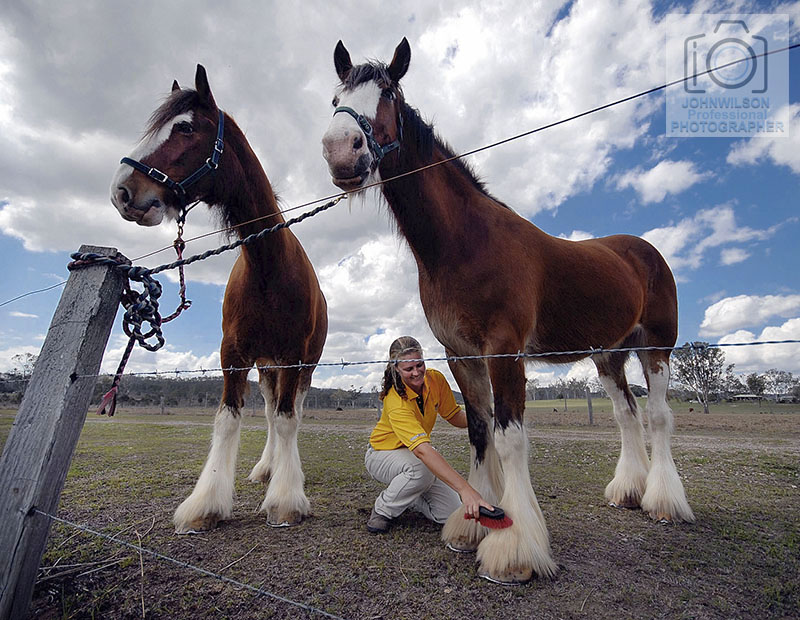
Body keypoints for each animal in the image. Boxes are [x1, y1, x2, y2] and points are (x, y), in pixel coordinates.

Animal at [111, 65, 326, 536]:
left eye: (185, 128)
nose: (122, 191)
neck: (267, 266)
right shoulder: (234, 355)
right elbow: (228, 419)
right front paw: (206, 504)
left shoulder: (293, 357)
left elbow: (289, 420)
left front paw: (286, 499)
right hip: (266, 368)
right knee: (270, 412)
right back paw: (267, 468)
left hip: (300, 366)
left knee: (290, 414)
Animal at [320, 41, 692, 584]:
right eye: (335, 99)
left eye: (387, 93)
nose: (341, 150)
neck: (464, 243)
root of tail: (643, 251)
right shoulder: (461, 354)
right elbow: (480, 431)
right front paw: (473, 524)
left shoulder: (504, 350)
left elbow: (510, 438)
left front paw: (514, 550)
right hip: (608, 356)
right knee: (626, 414)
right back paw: (629, 492)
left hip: (656, 346)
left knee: (659, 416)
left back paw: (664, 502)